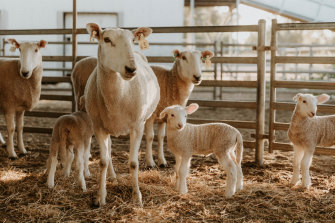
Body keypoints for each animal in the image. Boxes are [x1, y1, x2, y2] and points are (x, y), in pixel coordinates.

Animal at [82, 23, 159, 206]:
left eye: (133, 40)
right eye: (106, 39)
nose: (131, 69)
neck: (117, 97)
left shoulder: (137, 126)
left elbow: (133, 163)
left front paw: (137, 197)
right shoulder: (99, 127)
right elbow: (103, 161)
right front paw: (100, 197)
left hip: (147, 117)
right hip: (107, 126)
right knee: (109, 152)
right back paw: (113, 177)